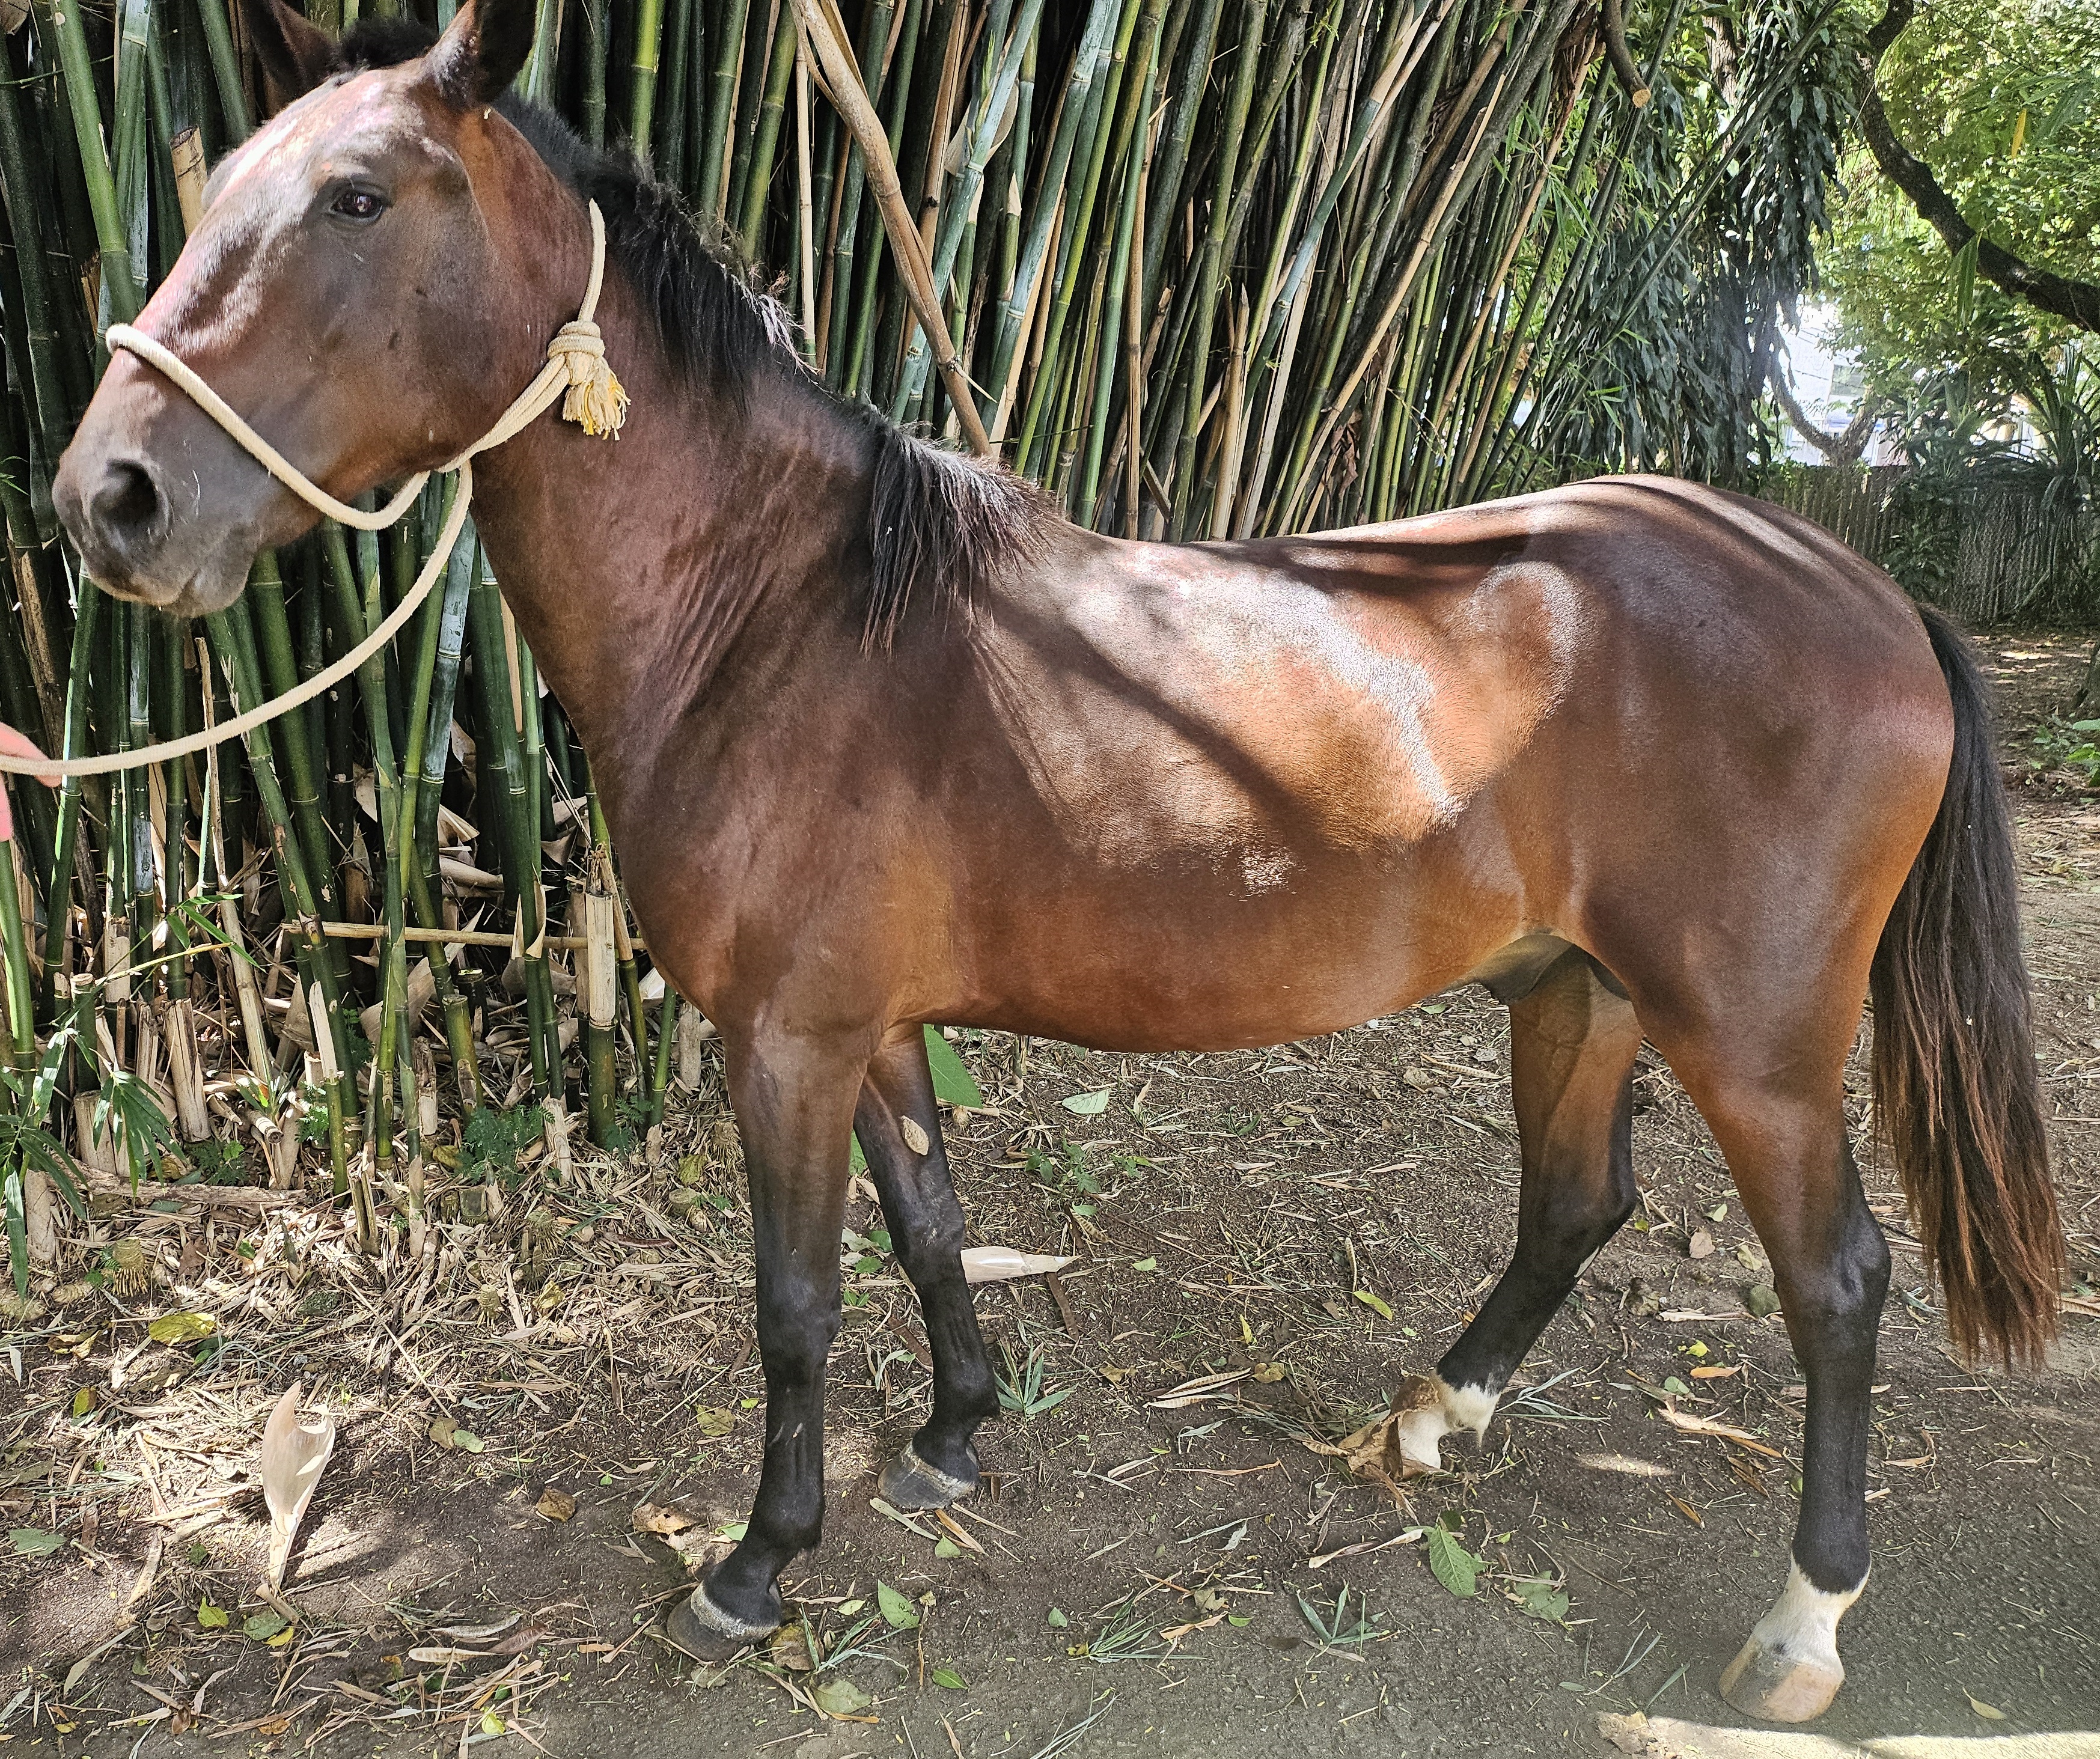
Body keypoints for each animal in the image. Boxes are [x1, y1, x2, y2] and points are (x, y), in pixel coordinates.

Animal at [53, 0, 2066, 1730]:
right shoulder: (861, 1025)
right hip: (1572, 988)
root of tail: (1861, 586)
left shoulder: (779, 1040)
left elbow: (793, 1304)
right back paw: (1431, 1414)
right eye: (216, 183)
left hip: (1757, 1041)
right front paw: (955, 1430)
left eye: (356, 195)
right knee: (1576, 1205)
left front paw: (754, 1563)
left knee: (1834, 1285)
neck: (774, 615)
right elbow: (932, 1221)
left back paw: (1799, 1623)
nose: (110, 498)